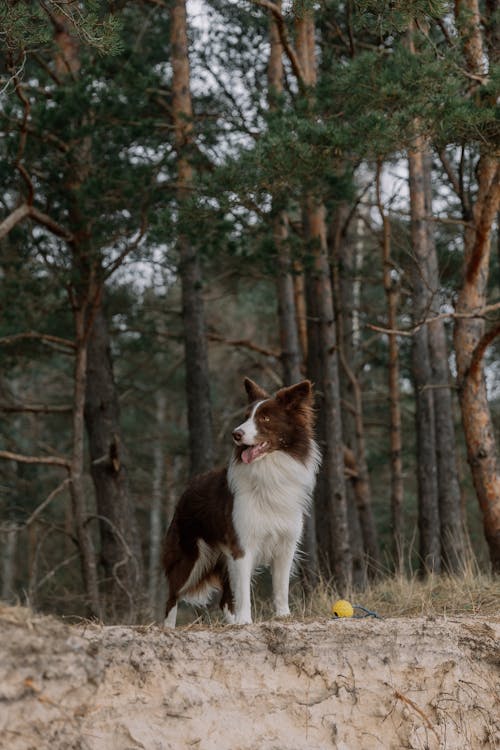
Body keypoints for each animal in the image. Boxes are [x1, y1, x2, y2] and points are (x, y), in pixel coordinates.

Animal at [162, 376, 322, 628]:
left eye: (265, 418)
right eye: (246, 417)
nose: (235, 434)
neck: (269, 471)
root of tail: (189, 487)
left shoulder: (285, 544)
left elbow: (281, 586)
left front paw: (283, 615)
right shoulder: (242, 545)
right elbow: (244, 590)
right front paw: (246, 620)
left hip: (223, 558)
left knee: (225, 600)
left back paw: (232, 622)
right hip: (191, 556)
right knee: (172, 596)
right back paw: (169, 627)